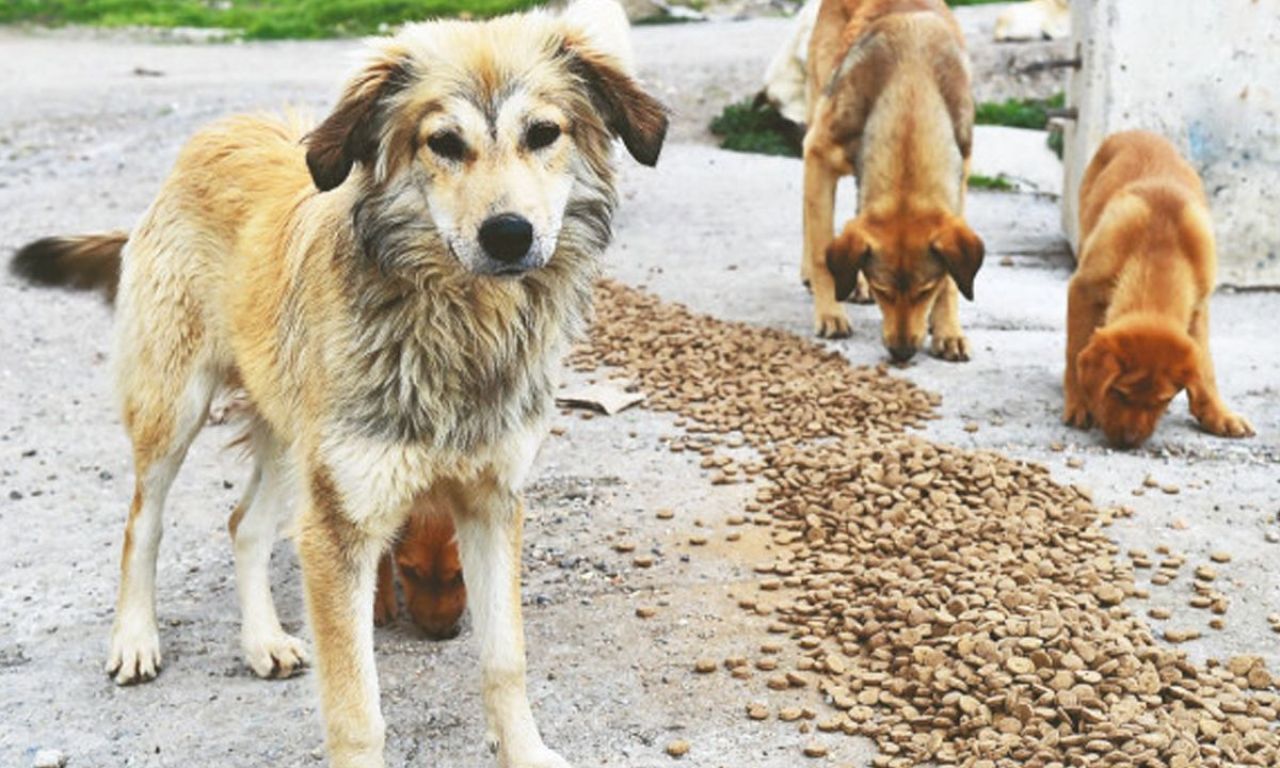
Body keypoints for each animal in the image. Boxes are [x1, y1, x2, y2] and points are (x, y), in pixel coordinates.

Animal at [10, 1, 665, 762]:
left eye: (543, 134)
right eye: (443, 142)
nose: (508, 234)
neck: (459, 328)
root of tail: (216, 131)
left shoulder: (490, 502)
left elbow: (505, 661)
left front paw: (527, 752)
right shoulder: (340, 529)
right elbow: (357, 711)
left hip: (290, 437)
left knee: (243, 523)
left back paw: (263, 640)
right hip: (175, 407)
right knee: (142, 523)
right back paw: (135, 639)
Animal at [803, 0, 983, 363]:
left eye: (925, 290)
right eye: (882, 289)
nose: (902, 353)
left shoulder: (961, 176)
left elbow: (952, 282)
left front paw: (948, 329)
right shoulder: (817, 155)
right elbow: (820, 250)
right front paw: (830, 312)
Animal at [1064, 129, 1254, 448]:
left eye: (1163, 400)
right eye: (1118, 391)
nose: (1128, 443)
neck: (1159, 250)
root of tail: (1135, 131)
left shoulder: (1199, 308)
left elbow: (1206, 369)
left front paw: (1218, 413)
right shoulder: (1082, 290)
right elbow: (1075, 347)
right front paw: (1079, 402)